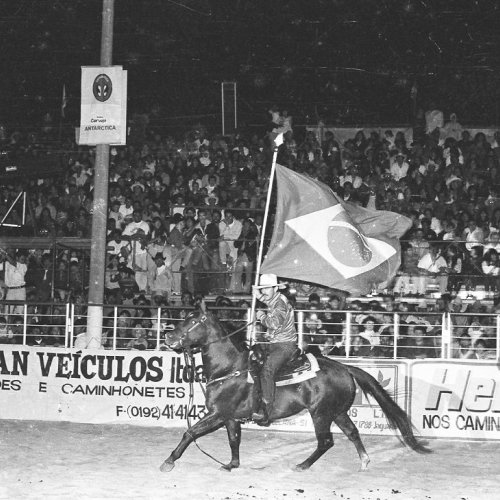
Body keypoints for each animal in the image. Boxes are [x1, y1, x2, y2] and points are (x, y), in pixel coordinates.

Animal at [161, 304, 430, 472]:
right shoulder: (230, 417)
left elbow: (190, 432)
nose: (168, 337)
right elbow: (234, 440)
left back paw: (303, 464)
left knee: (326, 442)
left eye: (193, 321)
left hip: (320, 414)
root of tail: (345, 368)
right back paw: (363, 461)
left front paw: (169, 461)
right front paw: (232, 464)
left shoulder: (217, 414)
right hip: (338, 412)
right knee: (352, 432)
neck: (229, 368)